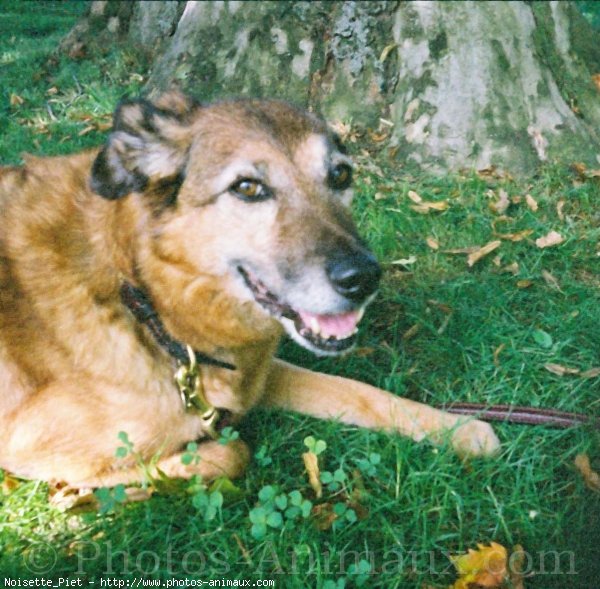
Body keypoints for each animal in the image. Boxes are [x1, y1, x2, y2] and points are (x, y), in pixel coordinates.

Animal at [0, 92, 500, 486]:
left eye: (340, 176)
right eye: (247, 187)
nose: (364, 278)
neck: (143, 299)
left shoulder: (257, 376)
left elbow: (358, 391)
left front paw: (461, 430)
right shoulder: (30, 444)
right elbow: (228, 452)